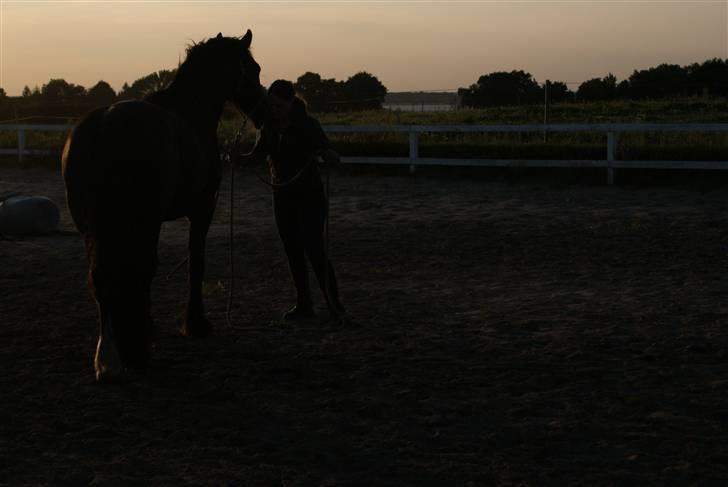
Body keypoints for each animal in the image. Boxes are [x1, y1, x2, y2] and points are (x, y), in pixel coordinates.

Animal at [62, 28, 266, 384]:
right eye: (253, 69)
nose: (264, 111)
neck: (191, 112)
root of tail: (103, 128)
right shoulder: (201, 209)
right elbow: (195, 261)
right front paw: (195, 324)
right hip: (141, 221)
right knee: (138, 270)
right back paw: (135, 353)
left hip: (90, 226)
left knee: (100, 278)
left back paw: (109, 358)